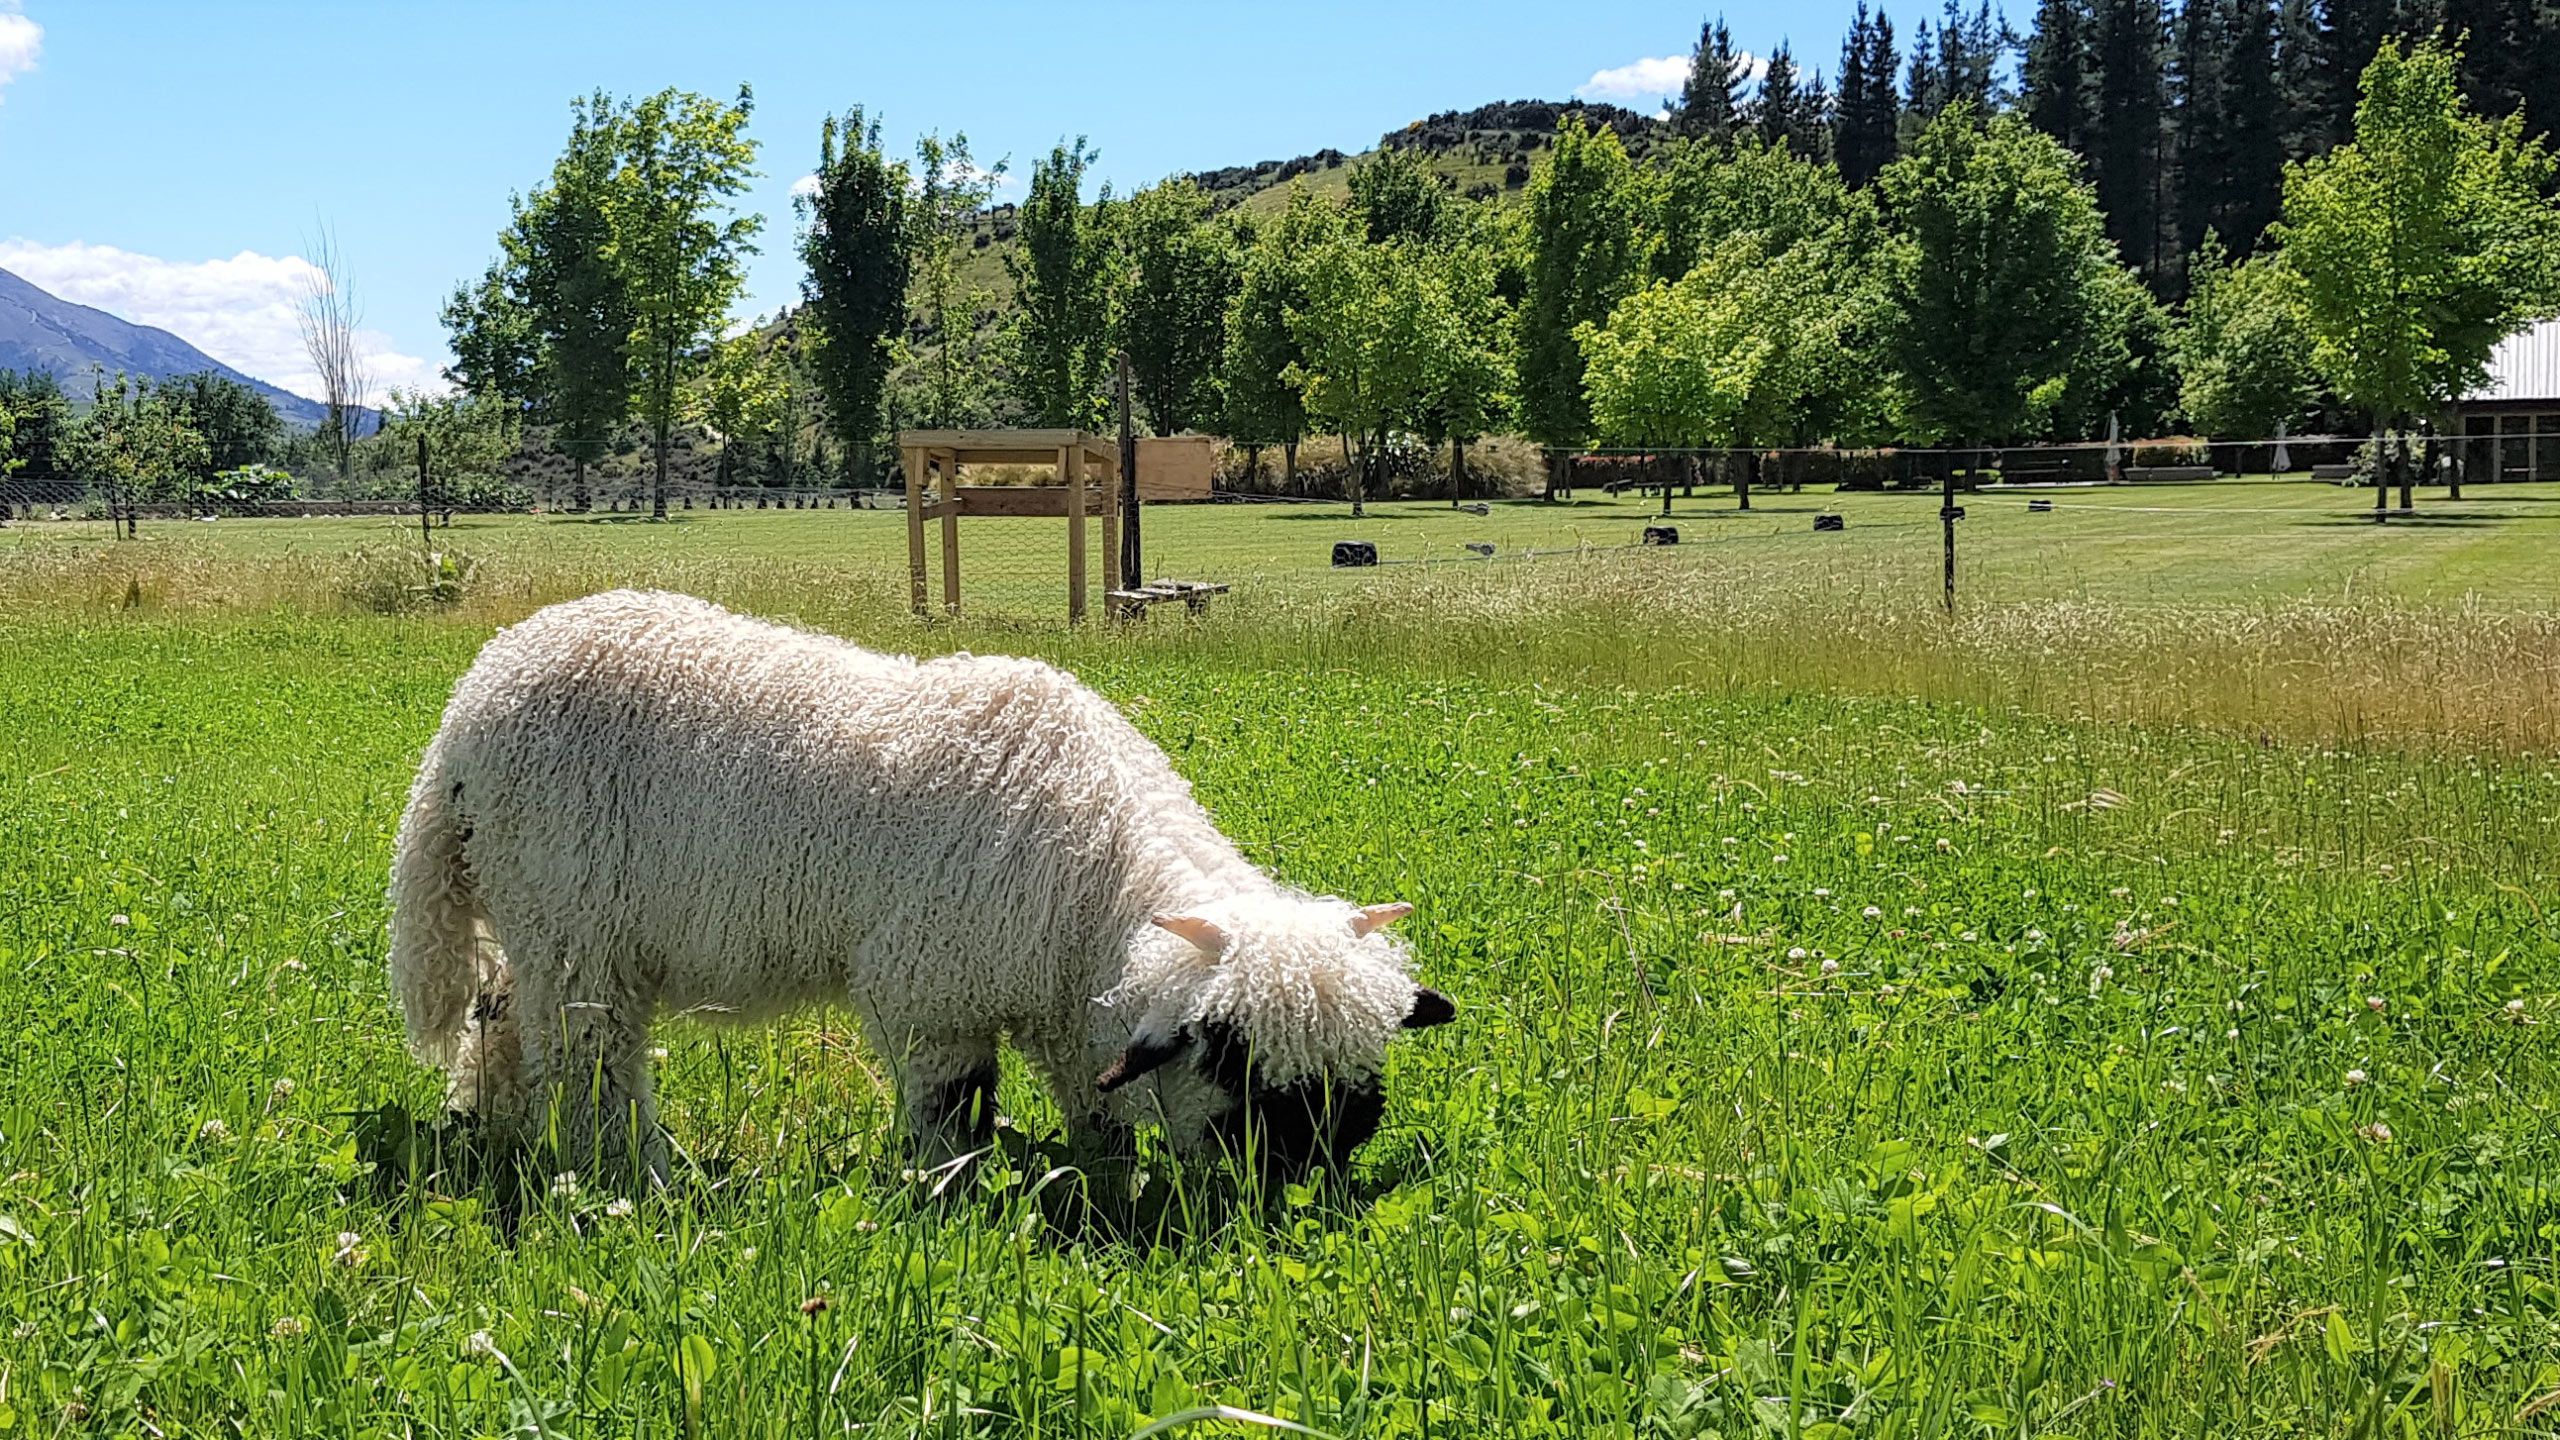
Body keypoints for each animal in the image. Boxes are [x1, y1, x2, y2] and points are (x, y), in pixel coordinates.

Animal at [388, 589, 1453, 1186]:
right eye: (1237, 1064)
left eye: (1364, 1074)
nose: (1302, 1196)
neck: (1095, 871)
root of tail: (466, 710)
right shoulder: (934, 993)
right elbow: (954, 1111)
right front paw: (952, 1190)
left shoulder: (1064, 1003)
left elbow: (1096, 1107)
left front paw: (1105, 1179)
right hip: (579, 924)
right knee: (593, 1065)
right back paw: (637, 1174)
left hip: (534, 913)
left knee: (506, 1022)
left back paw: (493, 1127)